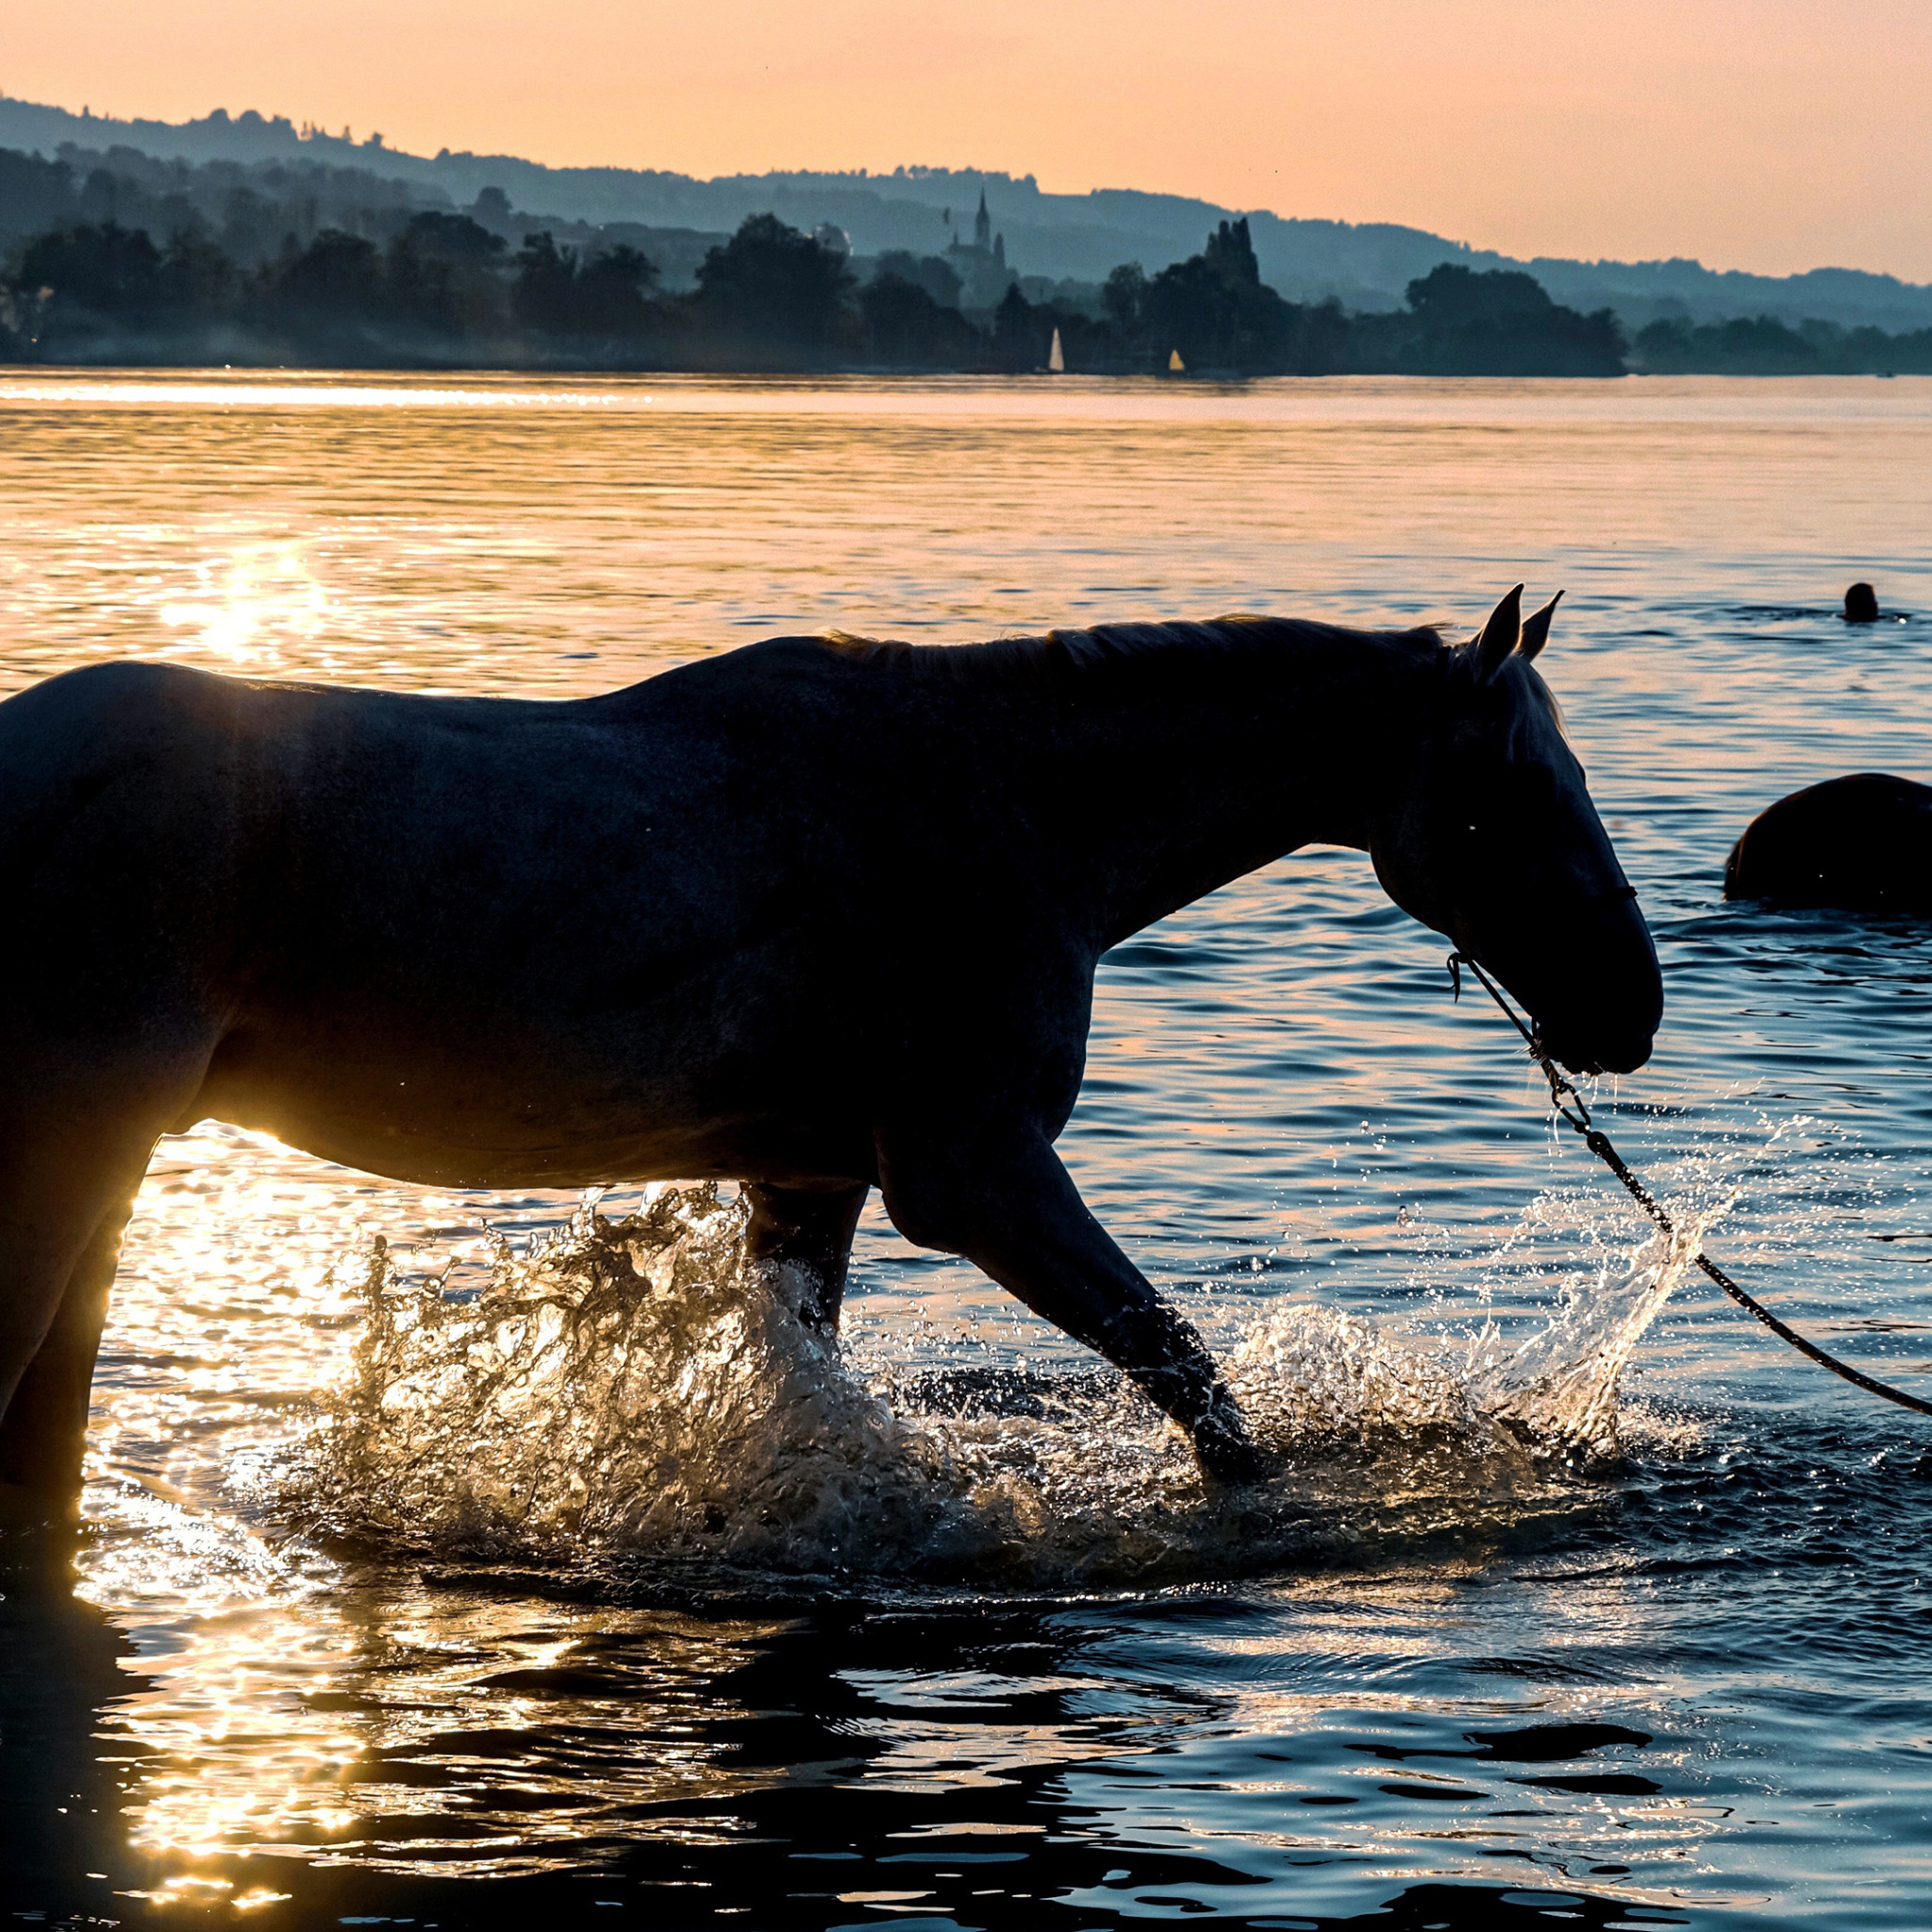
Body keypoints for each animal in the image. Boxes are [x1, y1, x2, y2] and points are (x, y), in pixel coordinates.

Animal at [0, 587, 1661, 1522]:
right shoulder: (977, 1178)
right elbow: (1190, 1381)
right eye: (1520, 791)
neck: (1007, 811)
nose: (1629, 1011)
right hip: (67, 1142)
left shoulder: (810, 1179)